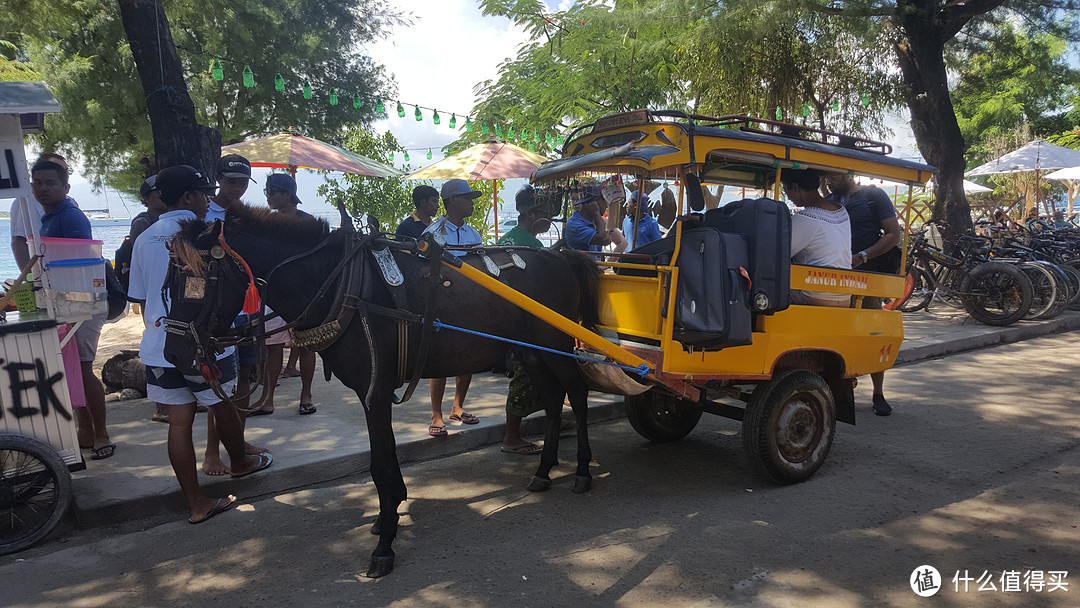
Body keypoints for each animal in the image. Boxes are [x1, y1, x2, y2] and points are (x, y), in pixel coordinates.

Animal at [159, 206, 600, 578]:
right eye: (170, 282)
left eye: (202, 279)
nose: (174, 354)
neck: (342, 284)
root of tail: (561, 255)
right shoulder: (373, 390)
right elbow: (385, 455)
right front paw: (389, 514)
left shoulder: (375, 389)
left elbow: (379, 464)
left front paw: (385, 543)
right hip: (532, 352)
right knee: (553, 399)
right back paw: (543, 471)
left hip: (556, 346)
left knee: (576, 395)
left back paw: (581, 471)